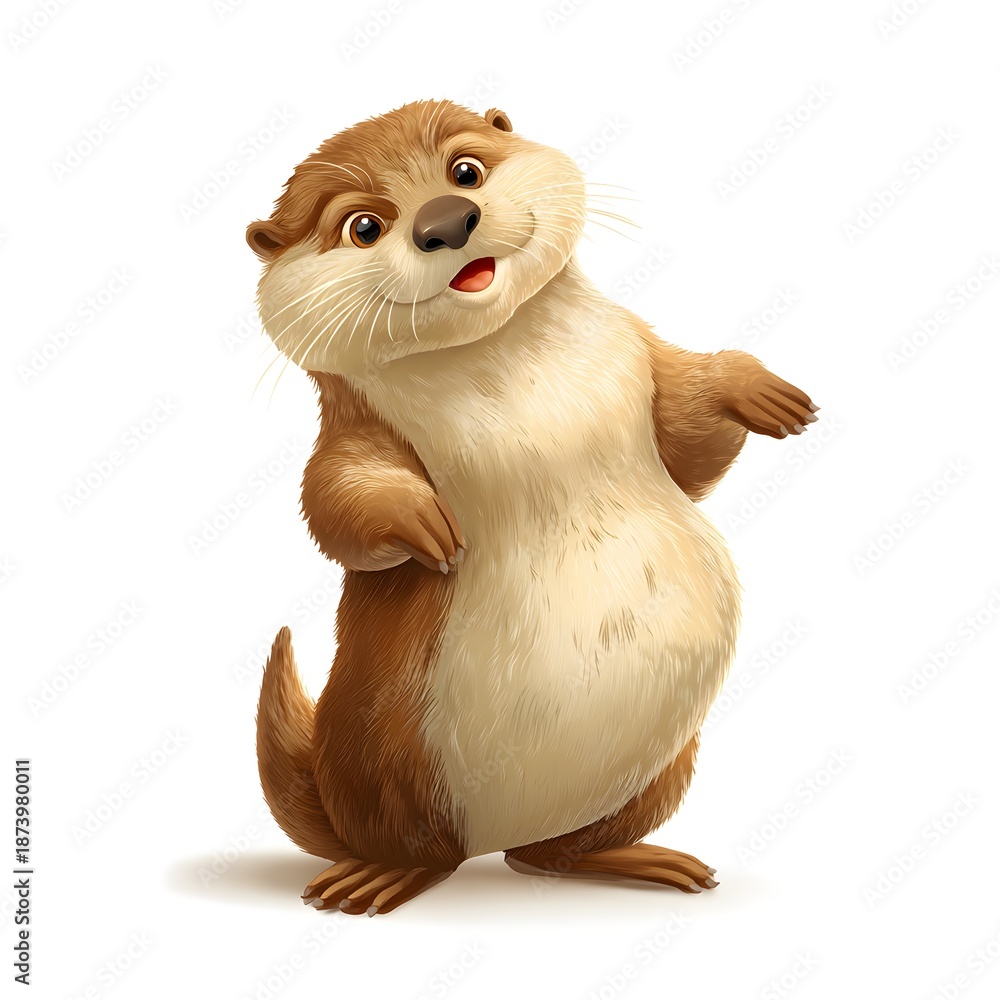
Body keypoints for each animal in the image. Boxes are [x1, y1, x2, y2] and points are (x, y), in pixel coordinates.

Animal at [247, 101, 816, 916]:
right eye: (363, 225)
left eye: (465, 169)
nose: (447, 221)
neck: (529, 387)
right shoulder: (355, 428)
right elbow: (336, 495)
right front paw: (420, 520)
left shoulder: (640, 353)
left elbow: (690, 441)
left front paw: (753, 385)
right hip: (387, 754)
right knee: (419, 847)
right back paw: (376, 877)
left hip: (661, 765)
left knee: (548, 856)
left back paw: (640, 861)